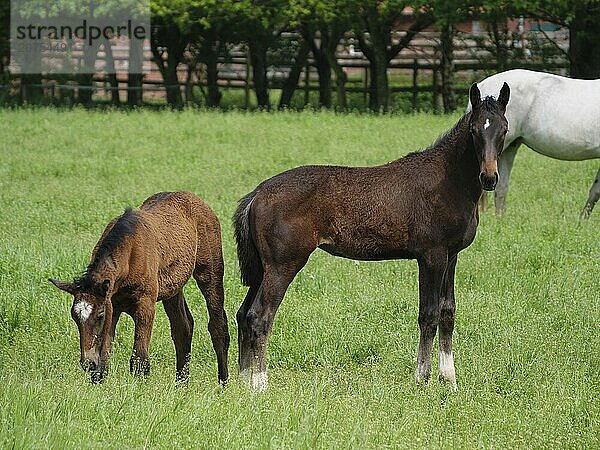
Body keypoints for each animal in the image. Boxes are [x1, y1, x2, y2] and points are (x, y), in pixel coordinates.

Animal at [49, 191, 230, 384]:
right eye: (74, 317)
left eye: (99, 315)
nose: (87, 362)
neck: (129, 254)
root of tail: (195, 199)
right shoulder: (113, 306)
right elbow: (104, 358)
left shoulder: (145, 304)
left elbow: (139, 359)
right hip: (173, 288)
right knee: (183, 327)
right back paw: (181, 384)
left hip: (210, 272)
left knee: (218, 326)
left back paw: (223, 382)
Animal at [234, 83, 510, 390]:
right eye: (474, 131)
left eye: (504, 129)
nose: (489, 178)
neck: (449, 182)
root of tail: (257, 194)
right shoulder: (431, 256)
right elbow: (428, 314)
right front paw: (421, 378)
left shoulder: (451, 256)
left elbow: (447, 312)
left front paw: (449, 379)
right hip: (282, 265)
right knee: (260, 316)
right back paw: (260, 385)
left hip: (263, 268)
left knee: (243, 314)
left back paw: (243, 381)